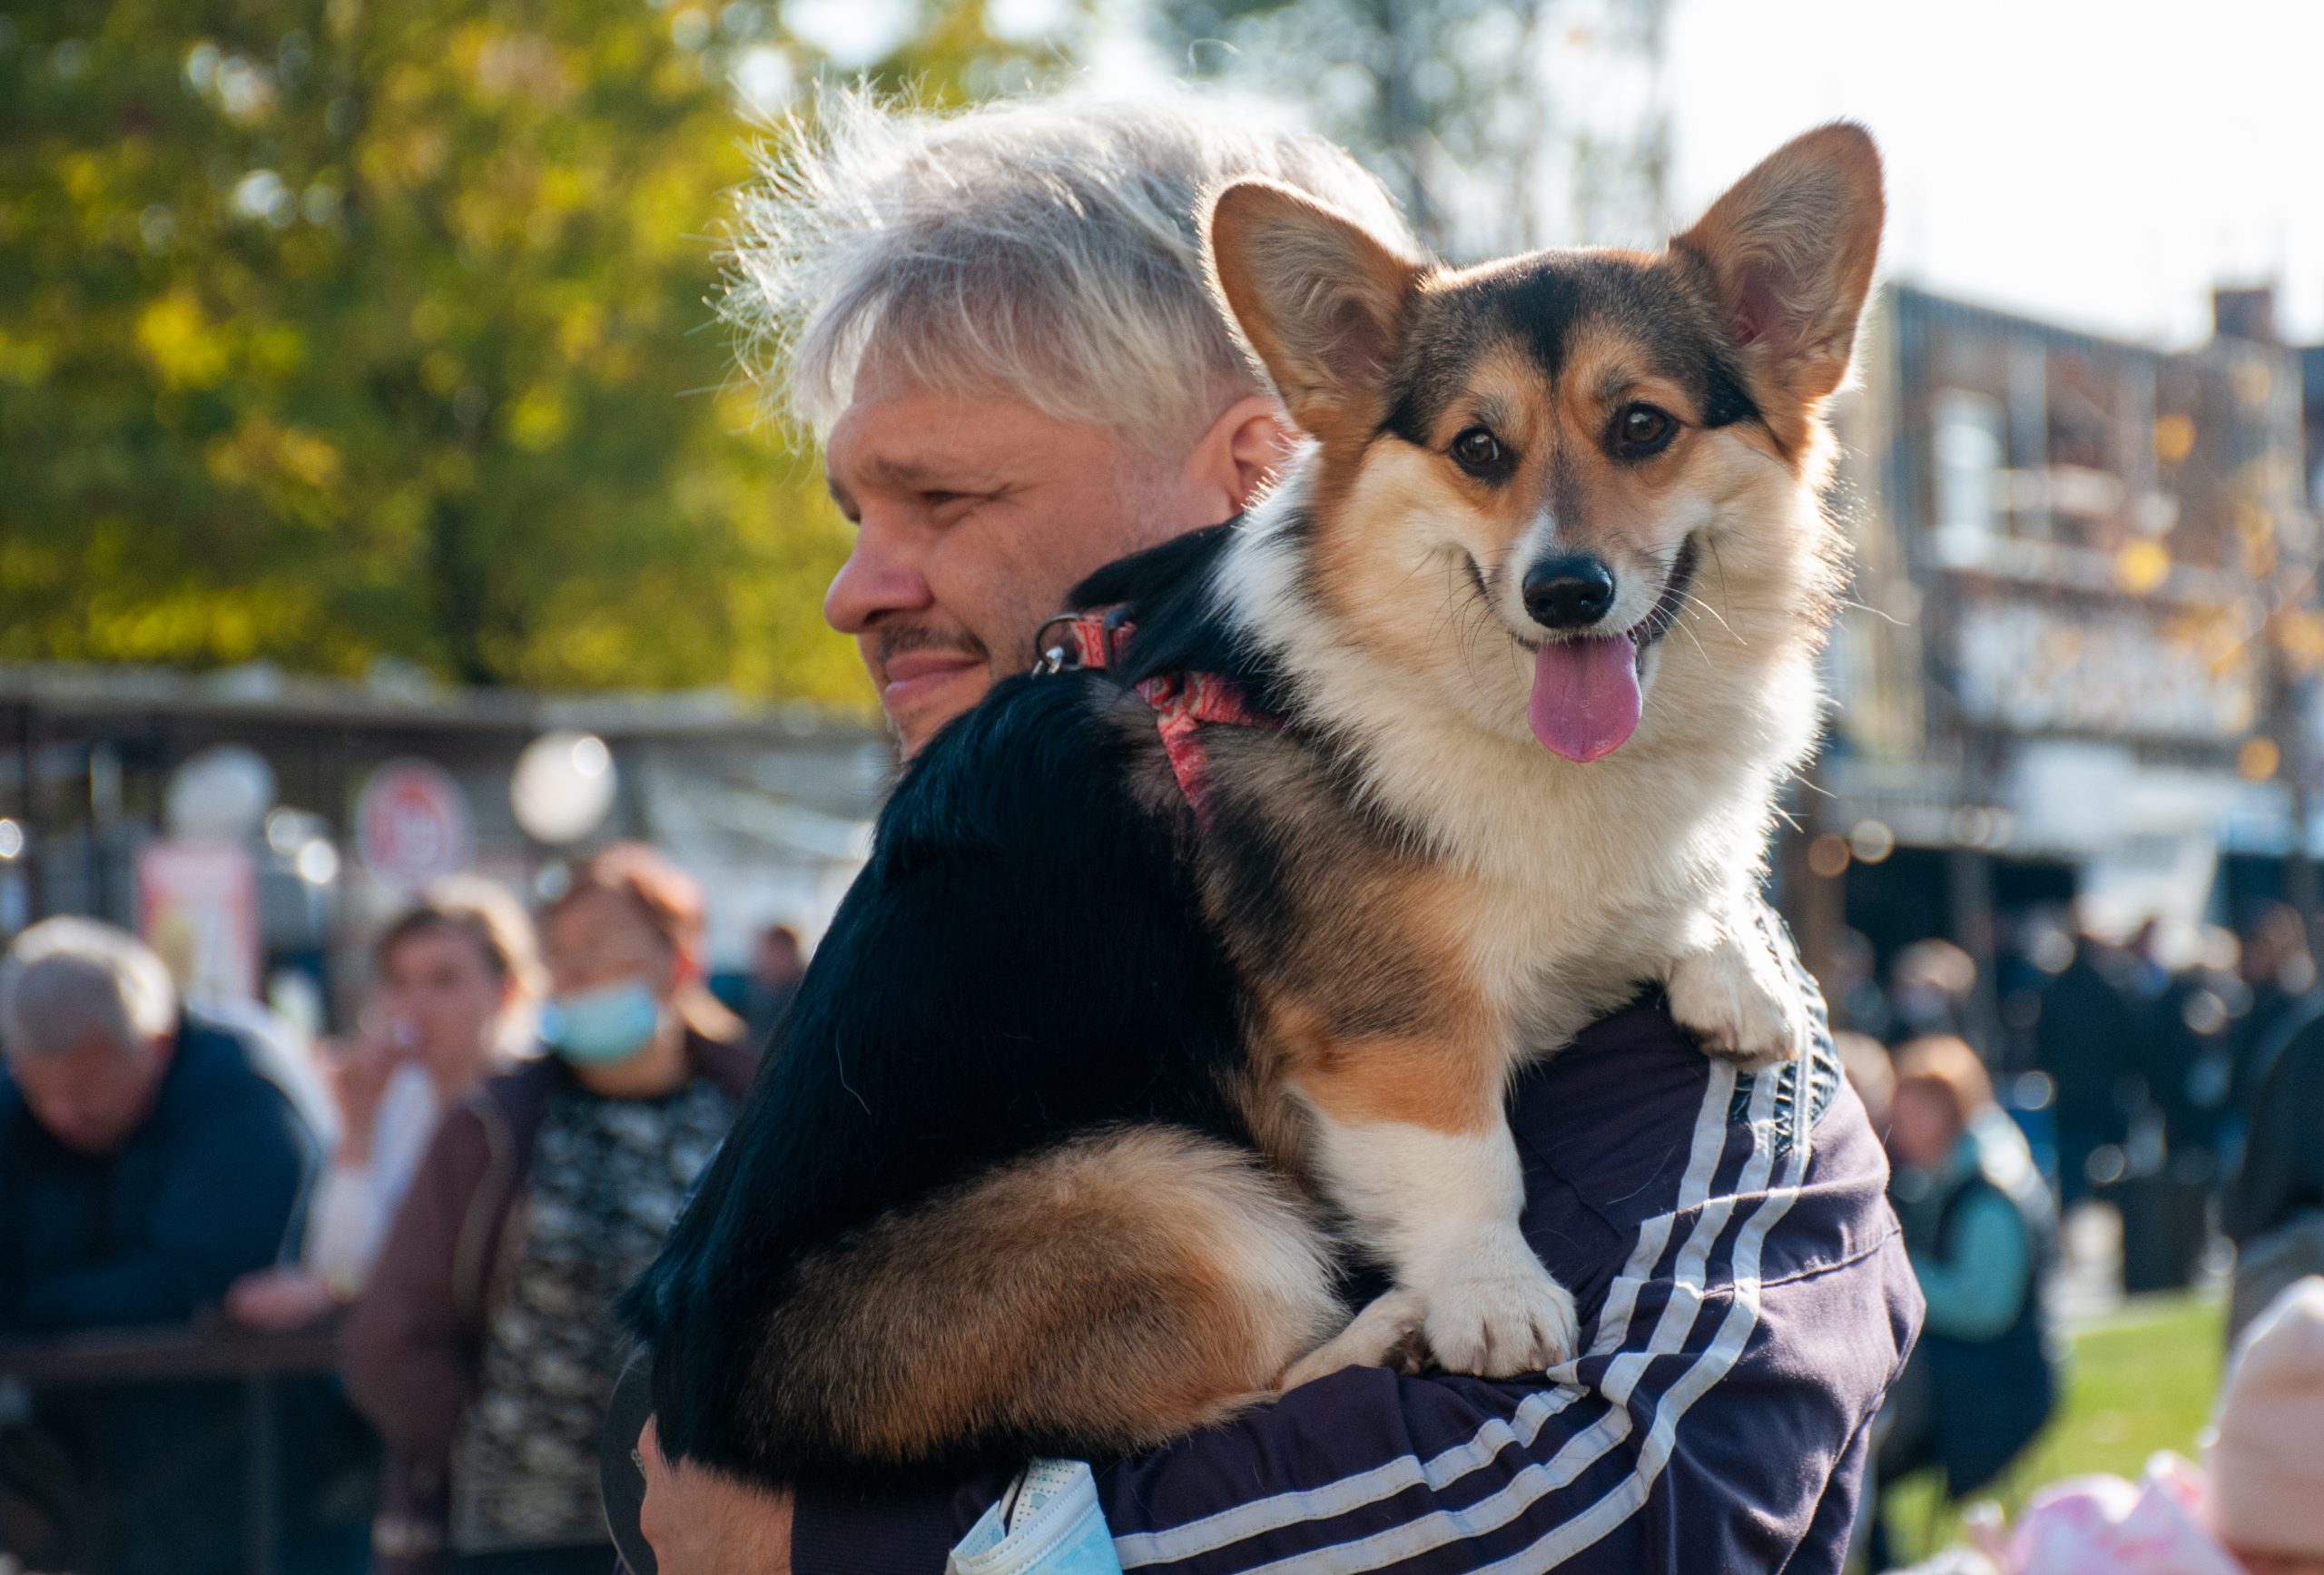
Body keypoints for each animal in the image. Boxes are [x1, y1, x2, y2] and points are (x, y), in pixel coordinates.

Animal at [623, 126, 1886, 1495]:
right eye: (1477, 448)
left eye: (1643, 425)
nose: (1566, 592)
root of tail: (703, 1399)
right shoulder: (1391, 1025)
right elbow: (1464, 1157)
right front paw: (1491, 1298)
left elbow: (1685, 884)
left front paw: (1736, 957)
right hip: (1178, 1193)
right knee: (1189, 1407)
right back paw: (1387, 1330)